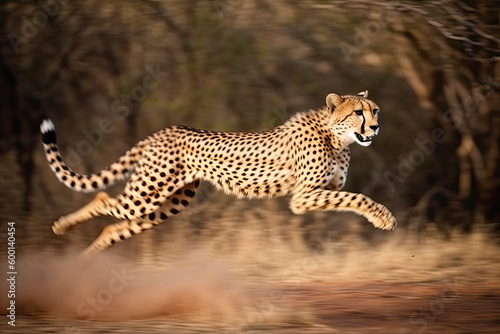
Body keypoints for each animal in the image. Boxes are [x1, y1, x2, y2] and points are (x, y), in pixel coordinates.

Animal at [41, 91, 396, 256]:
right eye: (358, 112)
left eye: (375, 110)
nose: (376, 127)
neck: (337, 137)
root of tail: (162, 131)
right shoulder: (302, 196)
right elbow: (358, 198)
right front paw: (384, 218)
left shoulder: (319, 192)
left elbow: (349, 197)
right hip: (148, 192)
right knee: (104, 198)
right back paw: (61, 227)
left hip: (170, 202)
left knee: (115, 228)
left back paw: (84, 263)